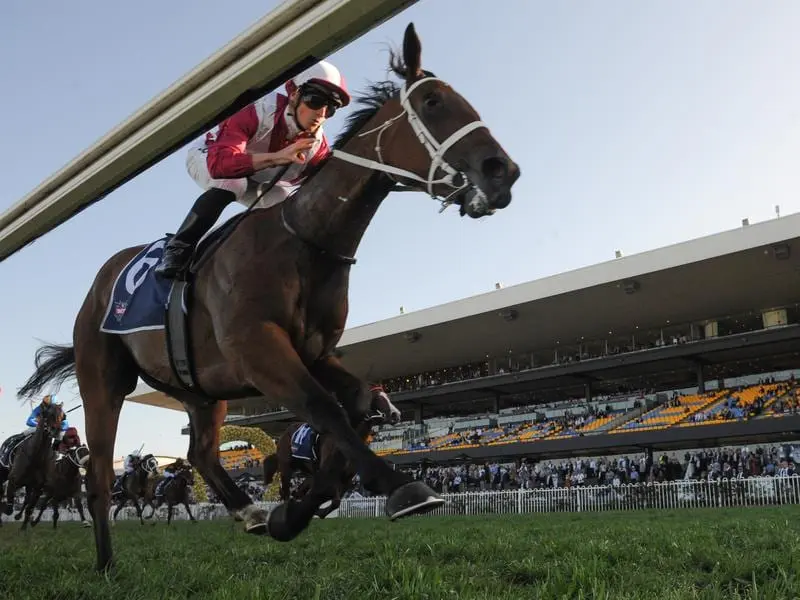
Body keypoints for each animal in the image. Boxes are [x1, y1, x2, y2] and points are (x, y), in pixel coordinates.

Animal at [262, 386, 400, 516]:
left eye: (387, 396)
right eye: (377, 399)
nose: (396, 414)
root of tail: (283, 434)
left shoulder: (346, 478)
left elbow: (335, 502)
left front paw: (319, 512)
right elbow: (331, 499)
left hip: (308, 471)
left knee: (298, 492)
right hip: (286, 466)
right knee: (286, 492)